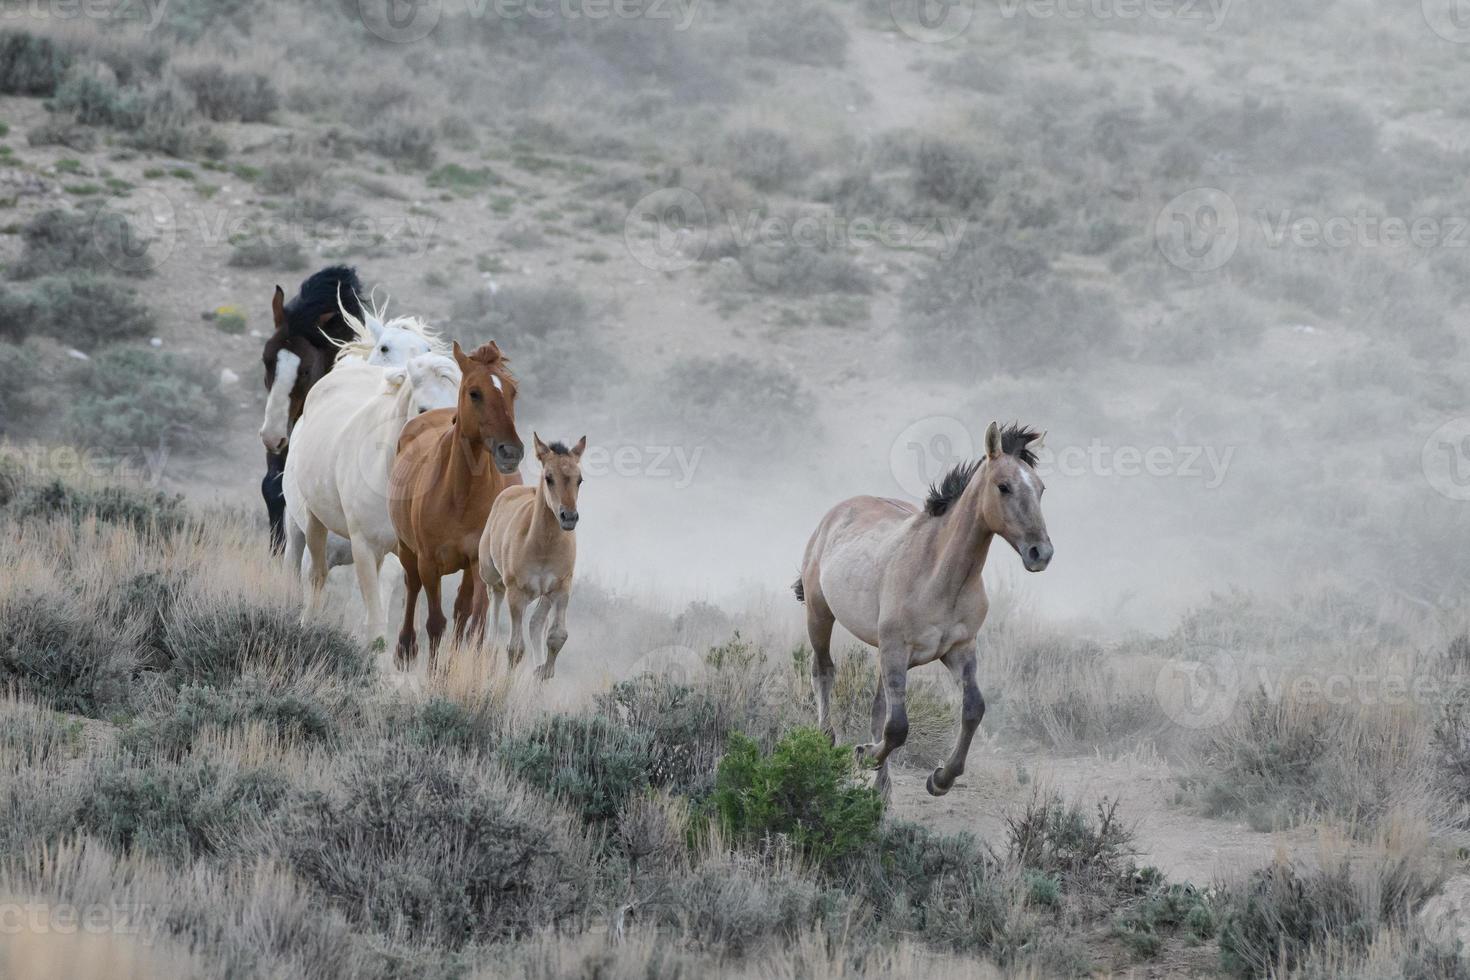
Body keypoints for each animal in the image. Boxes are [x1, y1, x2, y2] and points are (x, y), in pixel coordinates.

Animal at [388, 339, 526, 667]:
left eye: (512, 390)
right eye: (475, 392)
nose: (510, 451)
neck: (459, 496)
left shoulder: (478, 561)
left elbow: (474, 621)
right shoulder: (428, 562)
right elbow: (435, 622)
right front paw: (432, 670)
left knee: (463, 610)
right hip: (407, 549)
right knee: (411, 586)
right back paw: (405, 648)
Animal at [476, 437, 579, 681]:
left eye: (580, 480)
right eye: (549, 478)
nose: (569, 517)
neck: (543, 547)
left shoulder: (561, 588)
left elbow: (557, 636)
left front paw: (543, 672)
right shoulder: (516, 592)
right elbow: (515, 648)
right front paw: (506, 685)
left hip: (544, 594)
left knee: (536, 623)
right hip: (494, 580)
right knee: (493, 621)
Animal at [799, 423, 1052, 799]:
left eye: (1040, 488)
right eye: (1003, 486)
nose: (1041, 553)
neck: (938, 575)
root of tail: (834, 515)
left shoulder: (958, 649)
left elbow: (973, 709)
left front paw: (941, 779)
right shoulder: (896, 650)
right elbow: (898, 727)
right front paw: (863, 754)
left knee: (877, 707)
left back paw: (882, 789)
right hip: (820, 615)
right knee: (823, 671)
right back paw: (827, 741)